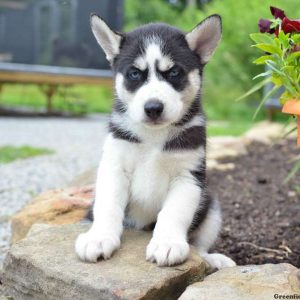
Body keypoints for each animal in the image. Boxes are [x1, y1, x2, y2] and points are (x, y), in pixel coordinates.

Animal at [74, 12, 234, 268]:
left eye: (174, 73)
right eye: (134, 73)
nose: (153, 108)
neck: (153, 136)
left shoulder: (188, 177)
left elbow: (173, 212)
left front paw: (167, 243)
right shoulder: (114, 167)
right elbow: (108, 206)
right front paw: (98, 238)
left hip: (211, 206)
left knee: (200, 247)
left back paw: (213, 259)